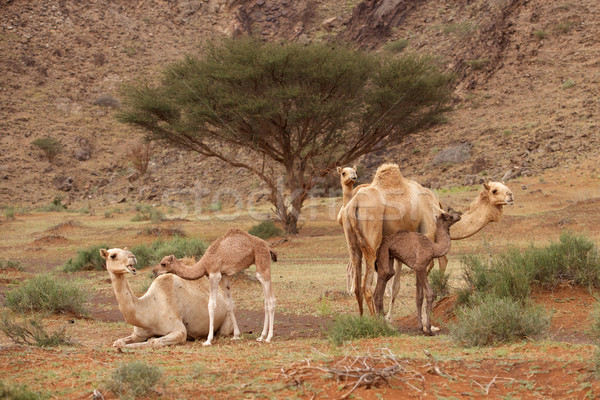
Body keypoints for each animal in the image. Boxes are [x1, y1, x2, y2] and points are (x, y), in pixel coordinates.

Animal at [99, 247, 233, 346]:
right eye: (113, 255)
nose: (132, 257)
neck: (149, 311)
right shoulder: (138, 335)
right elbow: (118, 342)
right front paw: (120, 345)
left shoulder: (179, 331)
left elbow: (153, 342)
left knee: (223, 332)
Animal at [340, 162, 512, 316]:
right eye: (495, 190)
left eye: (506, 188)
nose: (511, 196)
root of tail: (353, 204)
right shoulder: (427, 235)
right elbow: (426, 273)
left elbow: (396, 285)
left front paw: (390, 318)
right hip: (371, 238)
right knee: (366, 286)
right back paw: (376, 321)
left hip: (352, 243)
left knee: (357, 285)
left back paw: (364, 319)